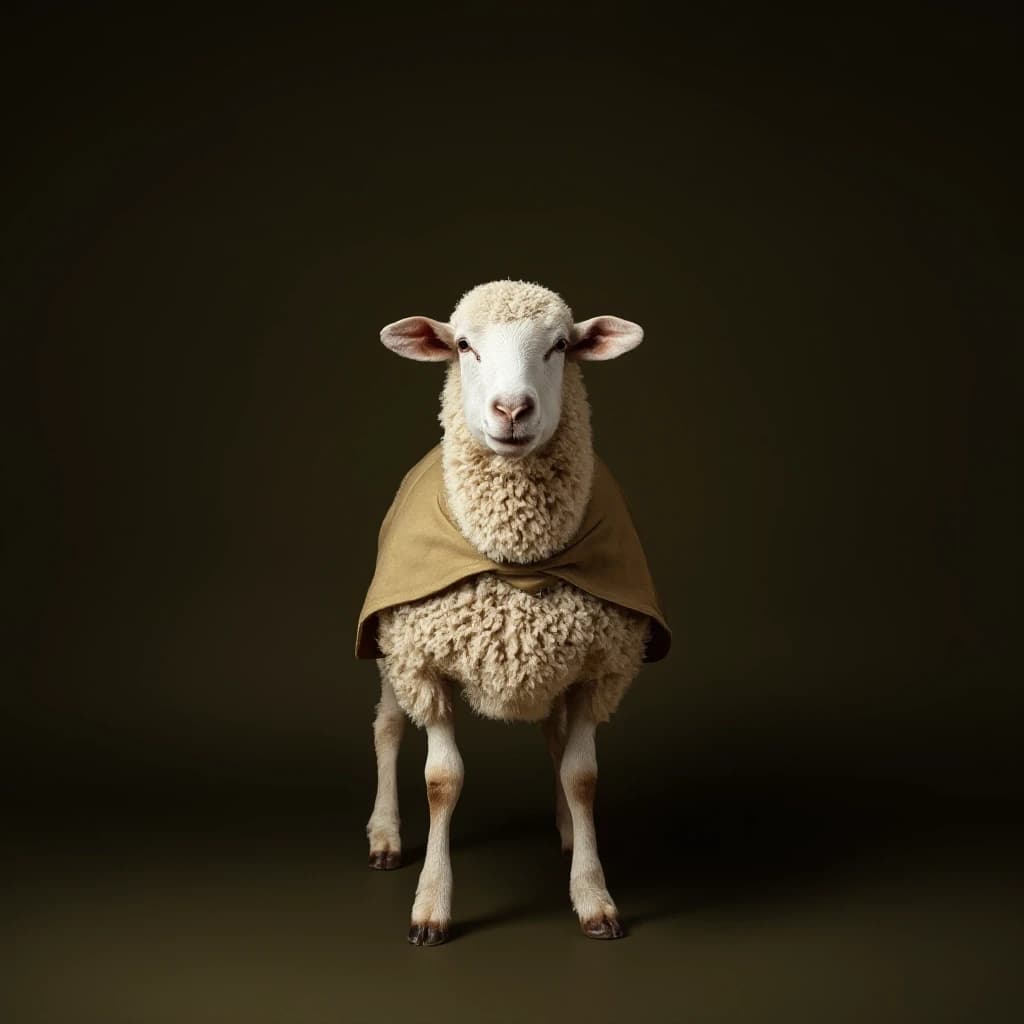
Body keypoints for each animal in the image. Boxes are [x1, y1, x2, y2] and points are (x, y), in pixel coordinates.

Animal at [356, 279, 670, 946]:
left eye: (561, 346)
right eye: (463, 345)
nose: (511, 410)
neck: (517, 562)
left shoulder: (599, 668)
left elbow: (582, 776)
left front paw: (593, 894)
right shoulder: (426, 663)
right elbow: (442, 781)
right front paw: (431, 906)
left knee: (555, 742)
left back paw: (570, 833)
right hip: (392, 652)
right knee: (387, 728)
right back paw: (385, 836)